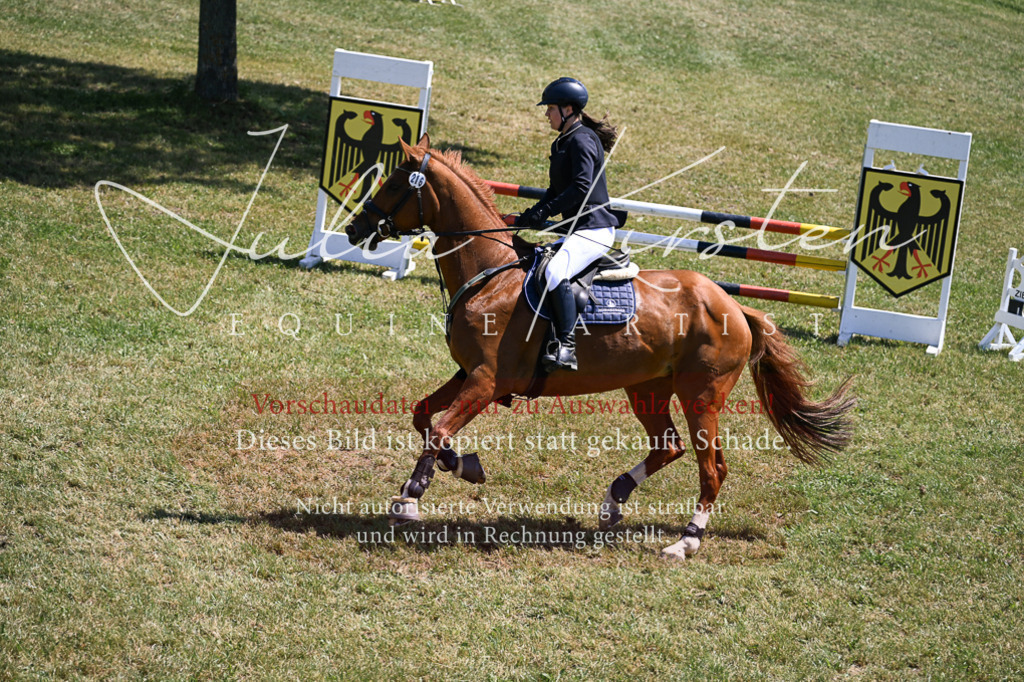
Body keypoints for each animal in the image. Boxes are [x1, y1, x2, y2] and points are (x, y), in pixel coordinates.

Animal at [347, 133, 854, 560]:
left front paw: (410, 498)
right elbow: (423, 416)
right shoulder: (468, 374)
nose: (354, 229)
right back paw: (614, 501)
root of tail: (733, 304)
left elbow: (437, 429)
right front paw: (462, 465)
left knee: (711, 468)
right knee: (668, 447)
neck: (489, 273)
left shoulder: (487, 381)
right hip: (647, 388)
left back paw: (685, 542)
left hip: (701, 396)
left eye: (395, 183)